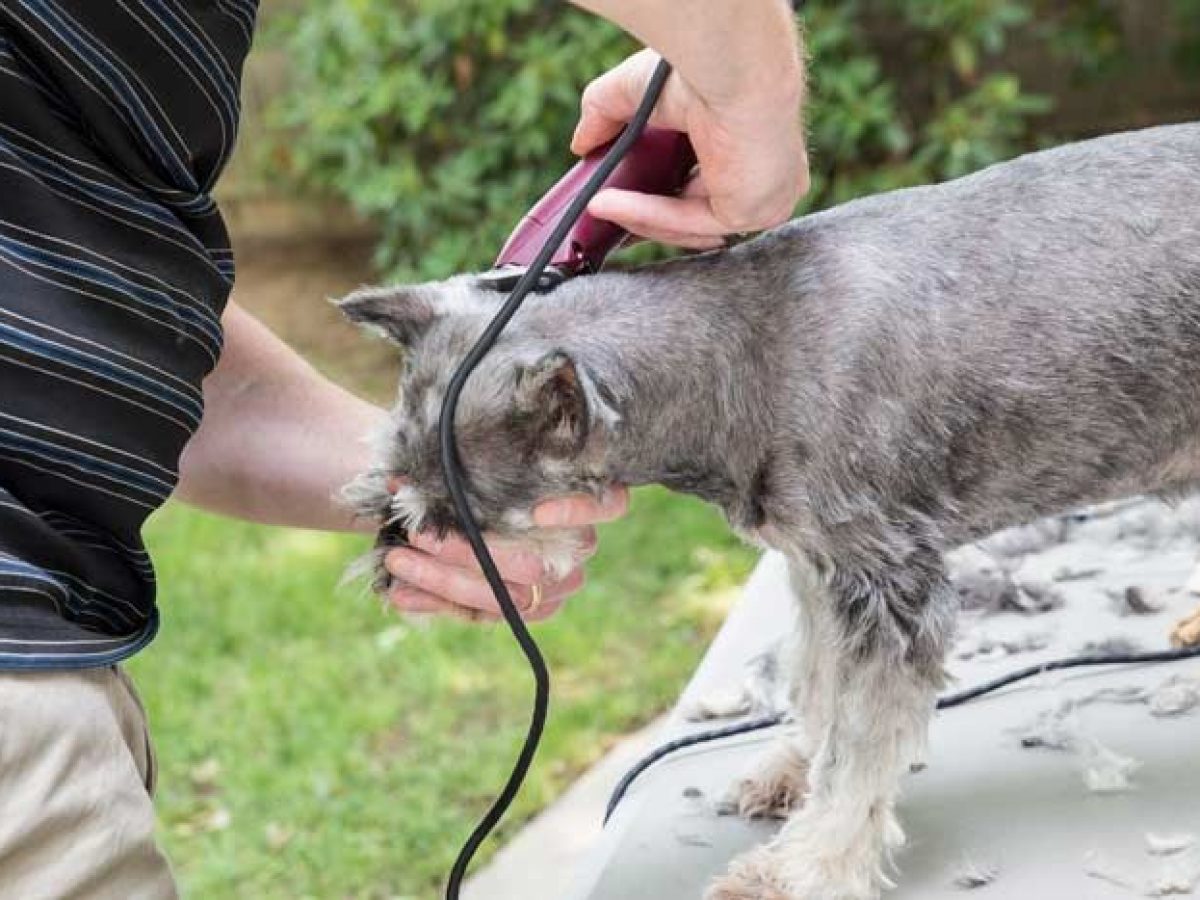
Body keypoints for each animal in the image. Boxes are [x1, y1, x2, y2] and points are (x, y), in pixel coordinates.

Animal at [336, 125, 1200, 900]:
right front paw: (795, 770)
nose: (390, 564)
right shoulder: (822, 568)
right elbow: (819, 685)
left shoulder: (891, 589)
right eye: (391, 483)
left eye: (445, 518)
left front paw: (805, 870)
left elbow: (859, 746)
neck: (743, 353)